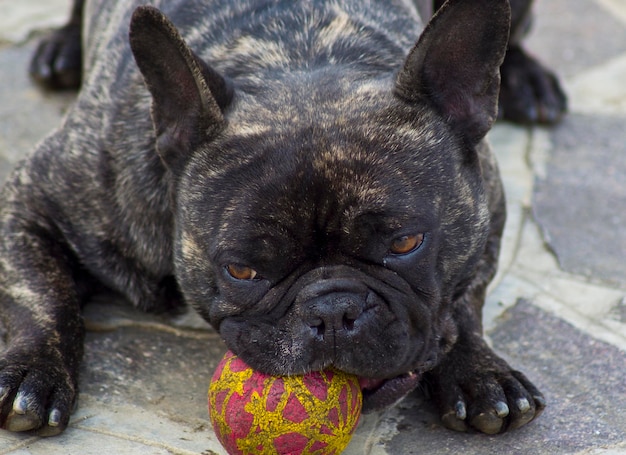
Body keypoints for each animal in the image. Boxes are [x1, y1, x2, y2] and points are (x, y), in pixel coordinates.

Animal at [1, 0, 564, 442]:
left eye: (406, 244)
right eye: (241, 271)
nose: (334, 310)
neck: (295, 56)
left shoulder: (490, 204)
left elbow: (464, 301)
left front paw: (478, 372)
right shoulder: (31, 198)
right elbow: (41, 295)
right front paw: (32, 373)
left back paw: (527, 81)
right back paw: (61, 49)